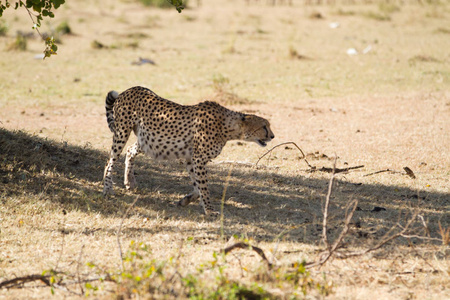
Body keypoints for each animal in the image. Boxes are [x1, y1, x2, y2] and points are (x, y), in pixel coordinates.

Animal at [103, 85, 274, 214]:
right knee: (109, 161)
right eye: (264, 126)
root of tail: (130, 89)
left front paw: (186, 200)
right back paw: (108, 189)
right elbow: (203, 186)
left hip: (148, 141)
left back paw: (129, 181)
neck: (228, 127)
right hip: (122, 133)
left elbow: (198, 187)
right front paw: (210, 210)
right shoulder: (198, 158)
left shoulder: (191, 158)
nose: (272, 136)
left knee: (130, 150)